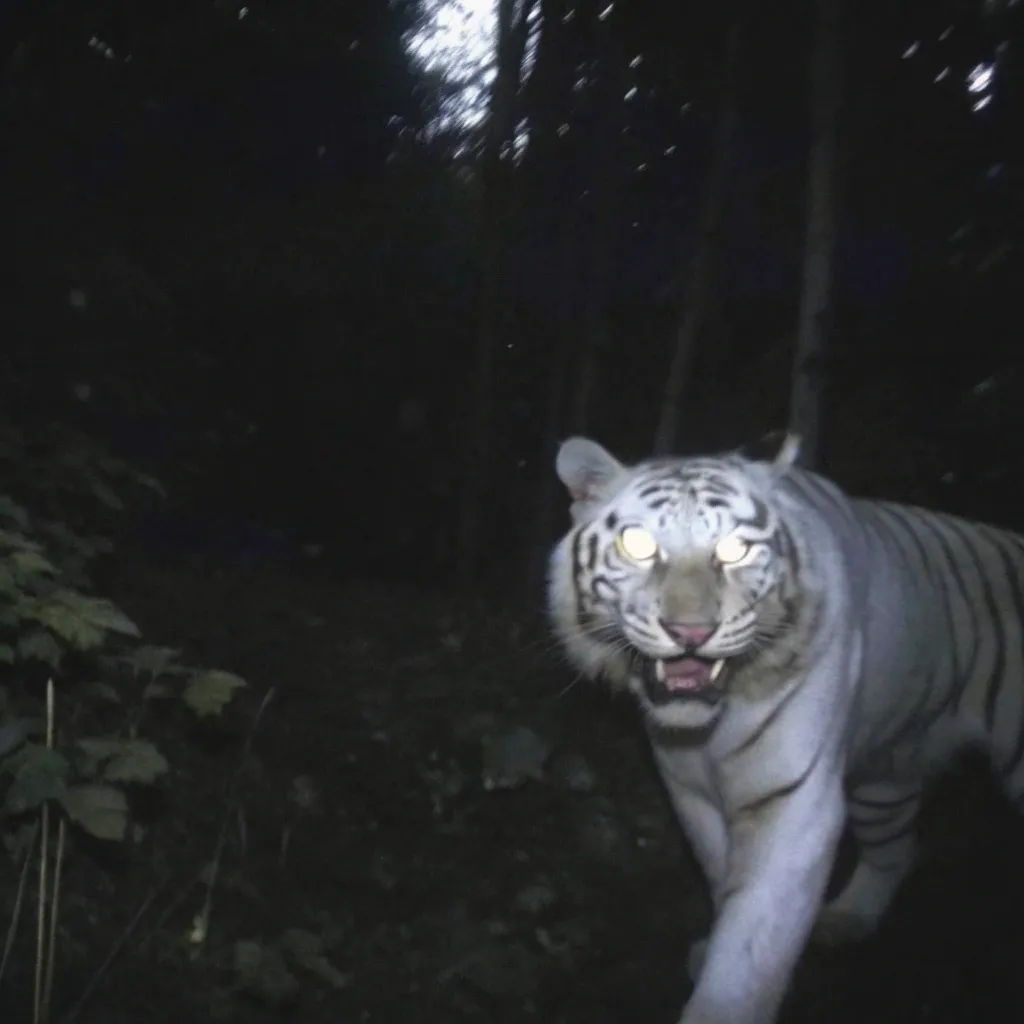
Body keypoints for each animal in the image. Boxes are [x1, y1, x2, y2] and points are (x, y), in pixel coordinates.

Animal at [546, 433, 1024, 1024]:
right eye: (637, 544)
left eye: (734, 549)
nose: (690, 632)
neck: (709, 732)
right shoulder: (692, 793)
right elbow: (723, 876)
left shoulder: (795, 803)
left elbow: (755, 940)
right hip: (884, 780)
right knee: (898, 847)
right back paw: (849, 919)